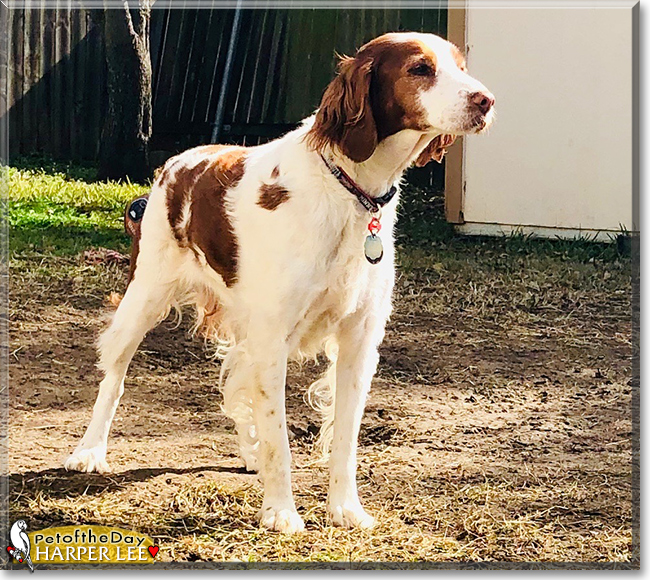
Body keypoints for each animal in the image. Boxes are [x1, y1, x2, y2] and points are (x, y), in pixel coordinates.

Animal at [64, 30, 492, 532]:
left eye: (461, 66)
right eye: (420, 69)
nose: (486, 100)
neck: (352, 192)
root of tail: (176, 163)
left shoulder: (359, 339)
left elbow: (344, 438)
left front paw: (346, 509)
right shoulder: (273, 338)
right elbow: (280, 439)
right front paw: (281, 512)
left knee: (234, 380)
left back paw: (249, 453)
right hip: (144, 298)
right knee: (114, 377)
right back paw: (90, 451)